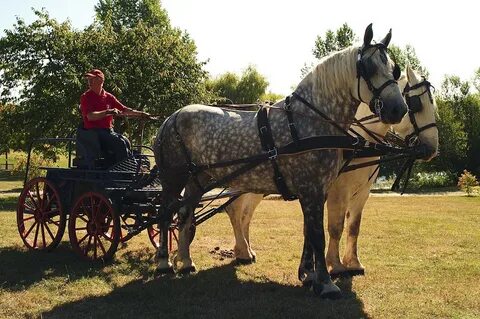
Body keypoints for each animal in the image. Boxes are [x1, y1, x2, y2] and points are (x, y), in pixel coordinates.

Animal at [152, 24, 406, 300]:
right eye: (368, 68)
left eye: (394, 69)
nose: (398, 109)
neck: (308, 121)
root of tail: (170, 119)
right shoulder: (312, 189)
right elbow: (317, 236)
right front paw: (326, 283)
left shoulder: (317, 191)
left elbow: (310, 233)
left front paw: (309, 275)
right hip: (173, 178)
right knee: (165, 214)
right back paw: (164, 262)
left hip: (198, 178)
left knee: (185, 213)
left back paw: (186, 262)